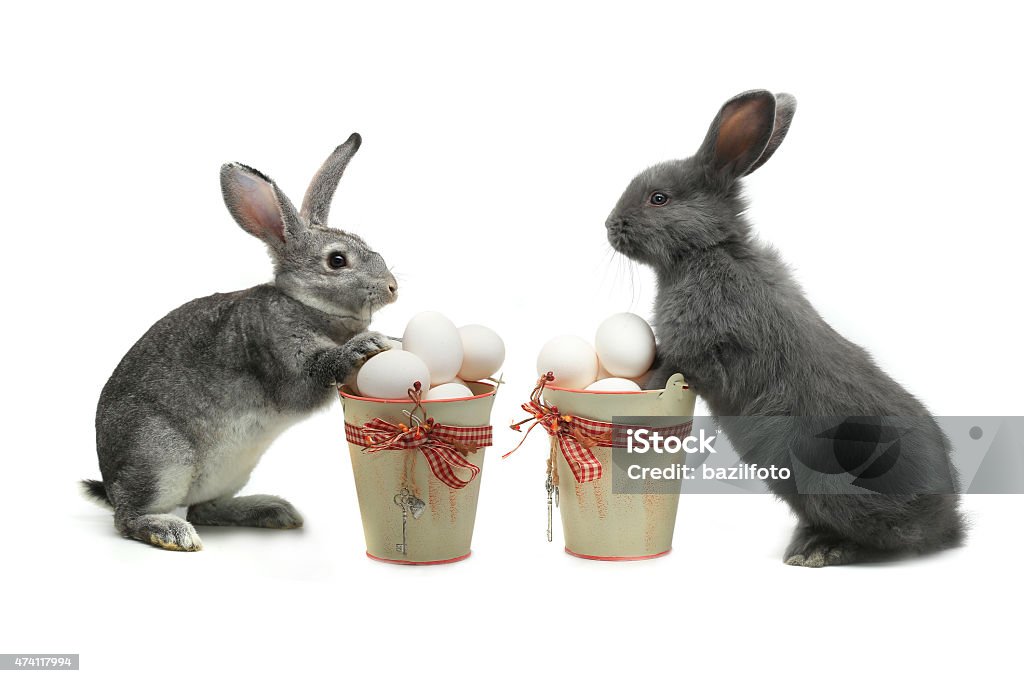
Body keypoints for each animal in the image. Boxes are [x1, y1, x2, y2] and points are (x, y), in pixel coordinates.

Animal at [80, 133, 395, 548]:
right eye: (337, 261)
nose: (393, 287)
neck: (303, 303)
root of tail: (110, 481)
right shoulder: (283, 355)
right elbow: (316, 371)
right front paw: (368, 345)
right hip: (160, 457)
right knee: (129, 518)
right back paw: (171, 532)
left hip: (231, 471)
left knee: (206, 508)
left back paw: (272, 510)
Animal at [606, 92, 966, 573]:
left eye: (658, 198)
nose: (609, 225)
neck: (708, 252)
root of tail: (948, 520)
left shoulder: (701, 348)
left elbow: (671, 370)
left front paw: (642, 389)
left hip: (836, 481)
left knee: (887, 538)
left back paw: (820, 551)